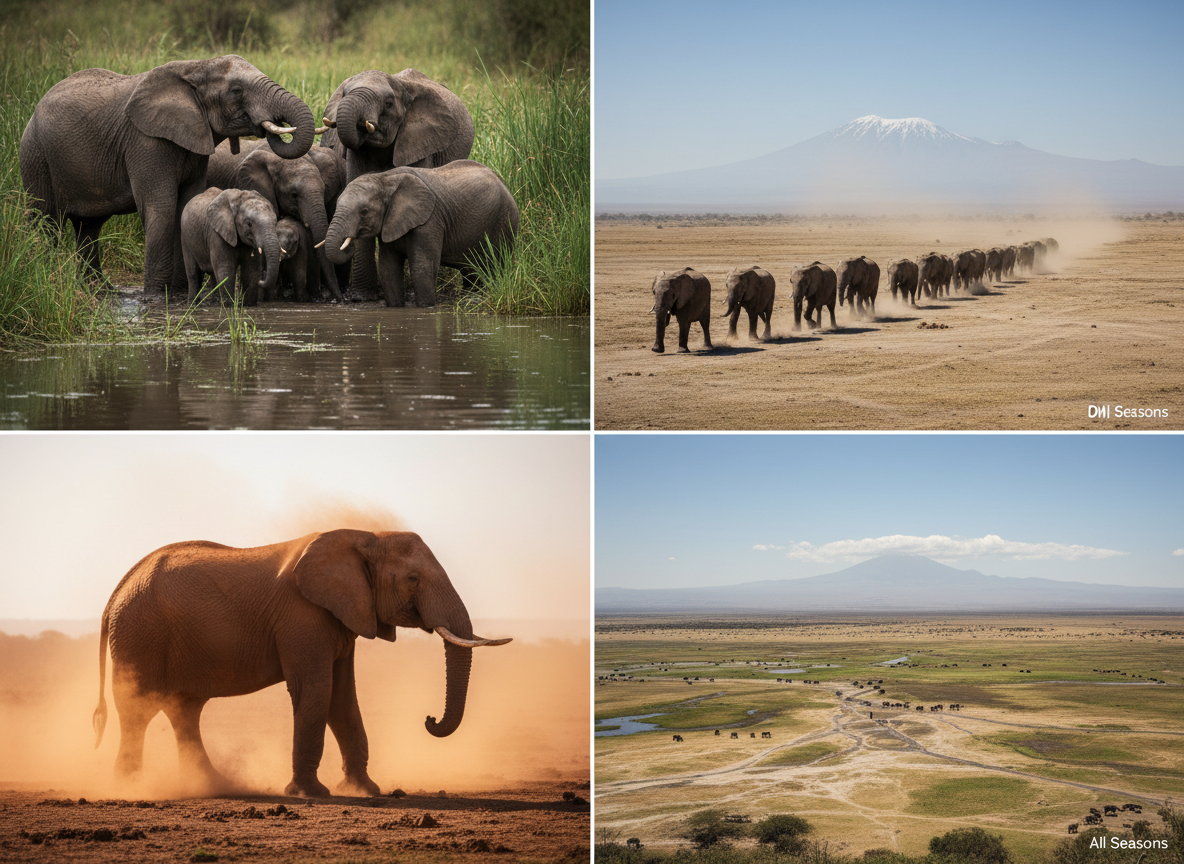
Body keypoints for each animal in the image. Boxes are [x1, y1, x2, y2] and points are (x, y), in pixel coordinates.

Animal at [20, 55, 314, 295]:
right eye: (236, 90)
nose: (274, 125)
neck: (196, 66)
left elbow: (185, 205)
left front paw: (179, 293)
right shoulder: (145, 140)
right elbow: (161, 208)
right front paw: (156, 297)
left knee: (88, 228)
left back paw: (100, 290)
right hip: (35, 155)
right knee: (46, 221)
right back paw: (49, 277)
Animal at [92, 529, 511, 798]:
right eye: (412, 578)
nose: (428, 719)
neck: (366, 537)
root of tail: (116, 592)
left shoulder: (343, 616)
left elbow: (342, 698)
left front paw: (365, 791)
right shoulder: (303, 617)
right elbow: (317, 690)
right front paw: (311, 793)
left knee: (184, 711)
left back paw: (209, 786)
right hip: (138, 636)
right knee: (139, 709)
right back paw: (132, 788)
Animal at [321, 159, 518, 308]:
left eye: (364, 212)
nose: (349, 243)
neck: (385, 178)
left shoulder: (430, 220)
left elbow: (422, 268)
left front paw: (427, 308)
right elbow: (388, 269)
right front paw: (395, 307)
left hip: (504, 221)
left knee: (495, 267)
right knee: (472, 272)